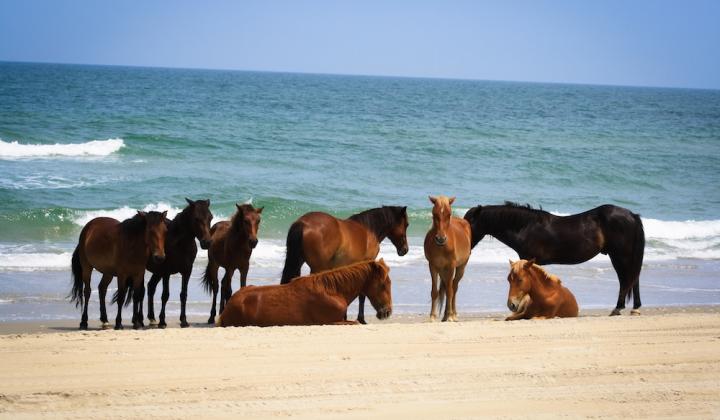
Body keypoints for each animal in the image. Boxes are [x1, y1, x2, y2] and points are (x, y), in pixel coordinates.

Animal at [144, 198, 213, 328]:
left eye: (210, 217)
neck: (179, 243)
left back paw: (152, 318)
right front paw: (162, 321)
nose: (207, 242)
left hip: (157, 272)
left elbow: (183, 295)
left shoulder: (187, 271)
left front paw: (184, 321)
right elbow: (165, 295)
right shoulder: (166, 272)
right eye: (196, 218)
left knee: (151, 287)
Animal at [280, 206, 408, 324]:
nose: (405, 250)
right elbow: (362, 295)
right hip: (317, 268)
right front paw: (361, 319)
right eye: (406, 224)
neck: (369, 230)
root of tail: (303, 223)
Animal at [463, 202, 645, 316]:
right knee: (633, 279)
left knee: (626, 280)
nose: (466, 246)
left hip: (621, 256)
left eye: (469, 222)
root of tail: (632, 215)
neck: (526, 227)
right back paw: (635, 308)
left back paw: (618, 308)